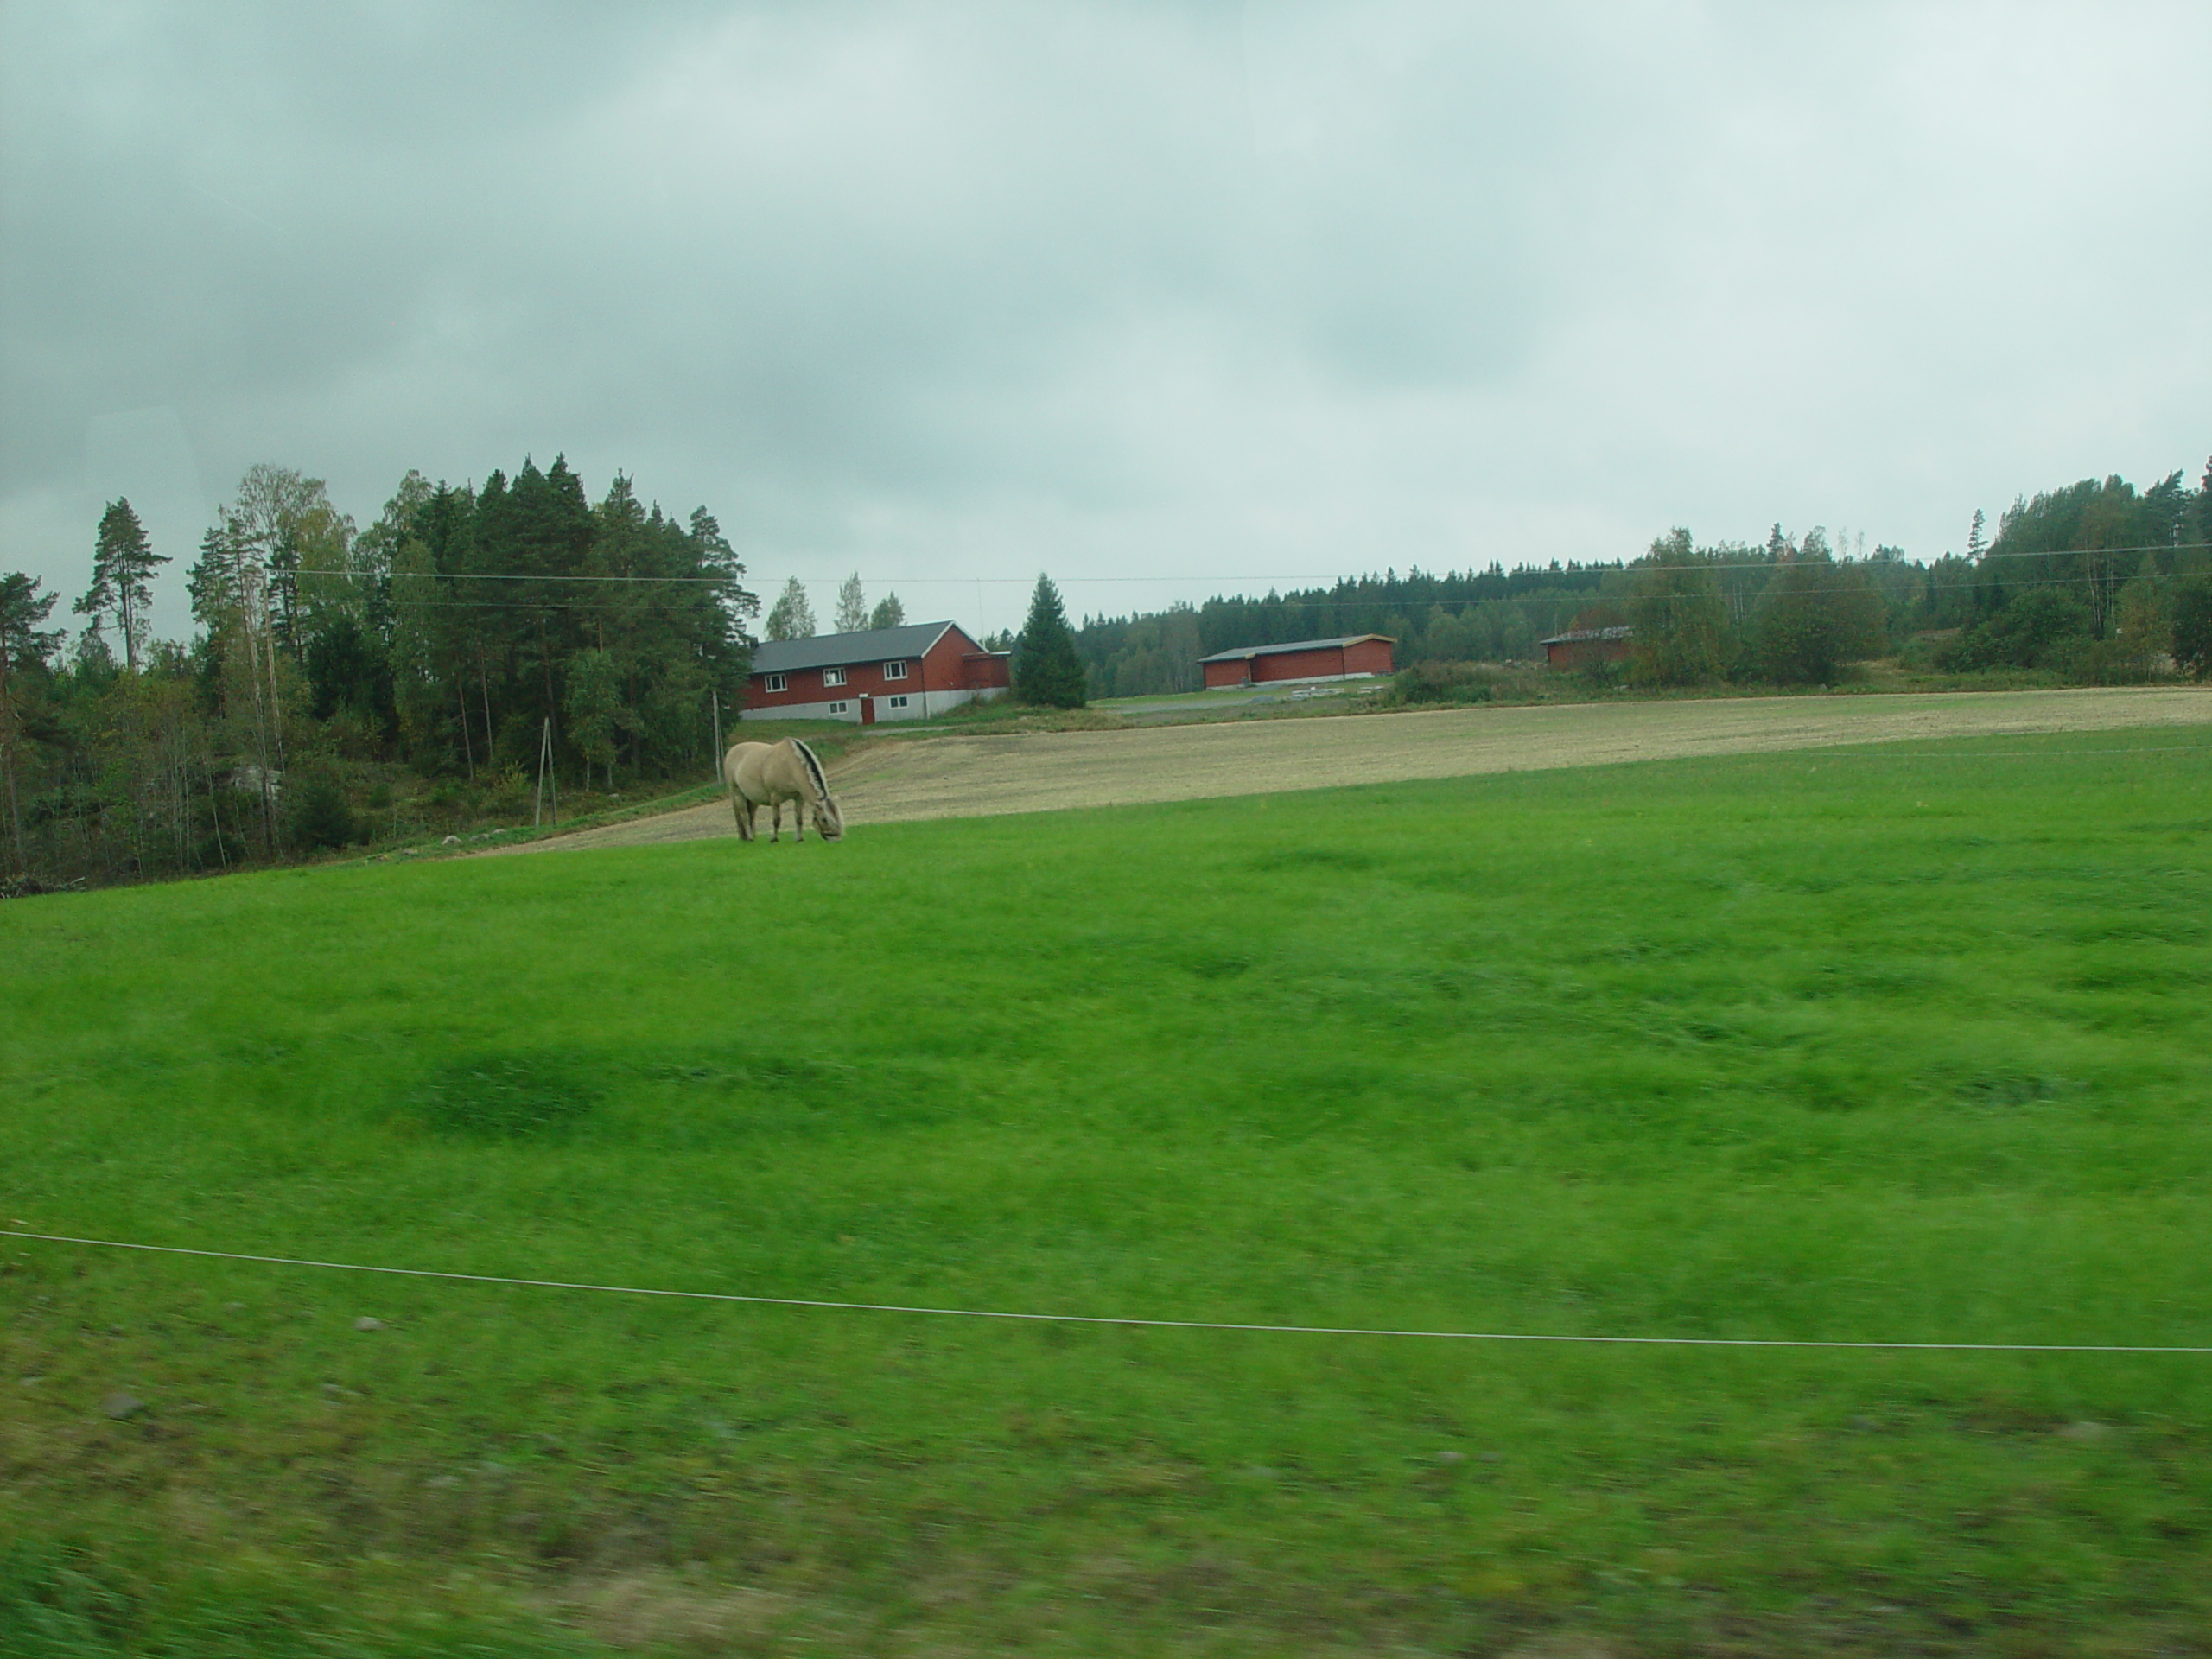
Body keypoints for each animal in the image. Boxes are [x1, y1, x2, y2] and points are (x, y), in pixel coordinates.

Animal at [721, 739, 840, 844]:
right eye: (824, 819)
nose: (835, 838)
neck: (788, 765)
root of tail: (731, 751)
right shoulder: (775, 798)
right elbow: (776, 820)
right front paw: (774, 839)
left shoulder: (799, 798)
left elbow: (799, 818)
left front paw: (799, 839)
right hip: (737, 793)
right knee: (744, 816)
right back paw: (750, 838)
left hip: (752, 798)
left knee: (752, 815)